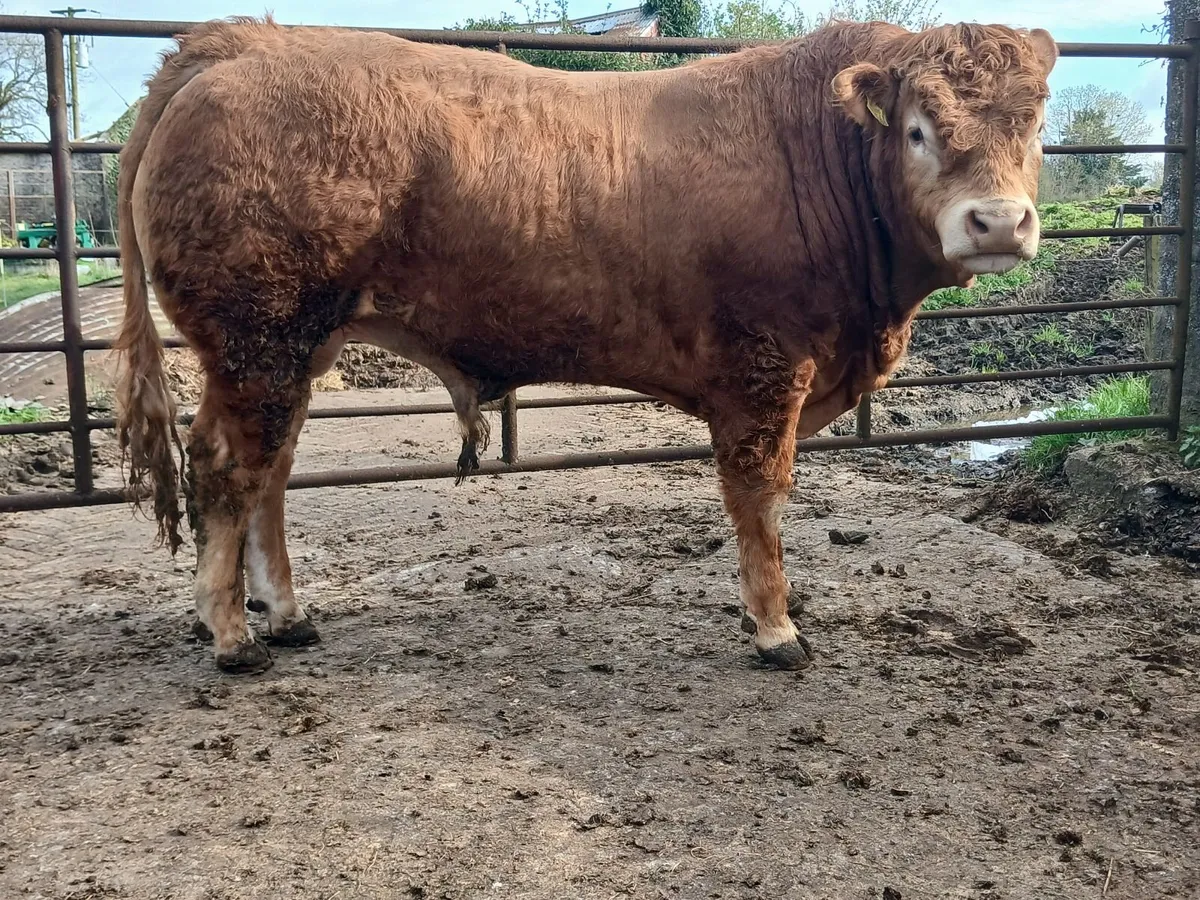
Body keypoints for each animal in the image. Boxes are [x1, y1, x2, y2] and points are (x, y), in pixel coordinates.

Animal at [114, 16, 1057, 674]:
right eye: (917, 129)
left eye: (1035, 126)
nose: (998, 222)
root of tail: (239, 43)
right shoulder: (763, 369)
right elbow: (760, 499)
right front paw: (774, 627)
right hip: (257, 339)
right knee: (227, 467)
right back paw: (233, 637)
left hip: (296, 347)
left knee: (270, 470)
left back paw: (287, 615)